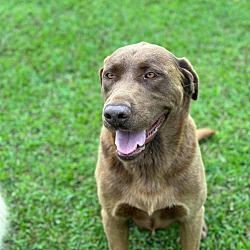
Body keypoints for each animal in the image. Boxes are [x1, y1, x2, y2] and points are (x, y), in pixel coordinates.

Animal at [95, 42, 215, 249]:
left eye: (151, 74)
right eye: (109, 75)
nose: (114, 114)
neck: (149, 162)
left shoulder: (189, 218)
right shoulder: (113, 219)